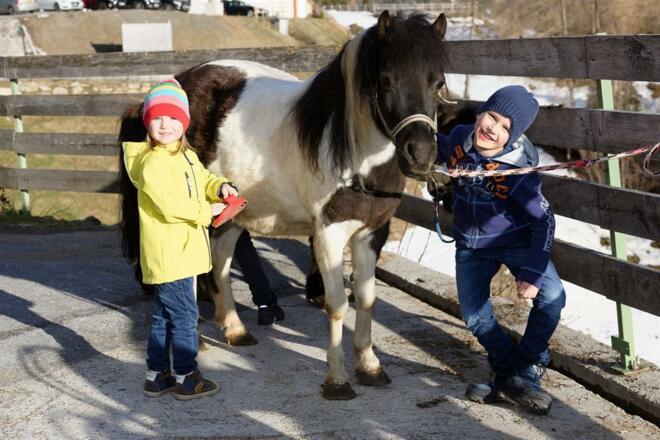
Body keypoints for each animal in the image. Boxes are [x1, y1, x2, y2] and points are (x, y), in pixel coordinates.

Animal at [119, 11, 450, 400]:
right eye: (386, 80)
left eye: (438, 83)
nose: (421, 155)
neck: (354, 156)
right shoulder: (329, 234)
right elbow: (337, 305)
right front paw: (337, 379)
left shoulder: (371, 233)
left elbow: (367, 299)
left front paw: (370, 366)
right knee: (193, 274)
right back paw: (197, 342)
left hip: (231, 217)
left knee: (219, 266)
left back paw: (234, 329)